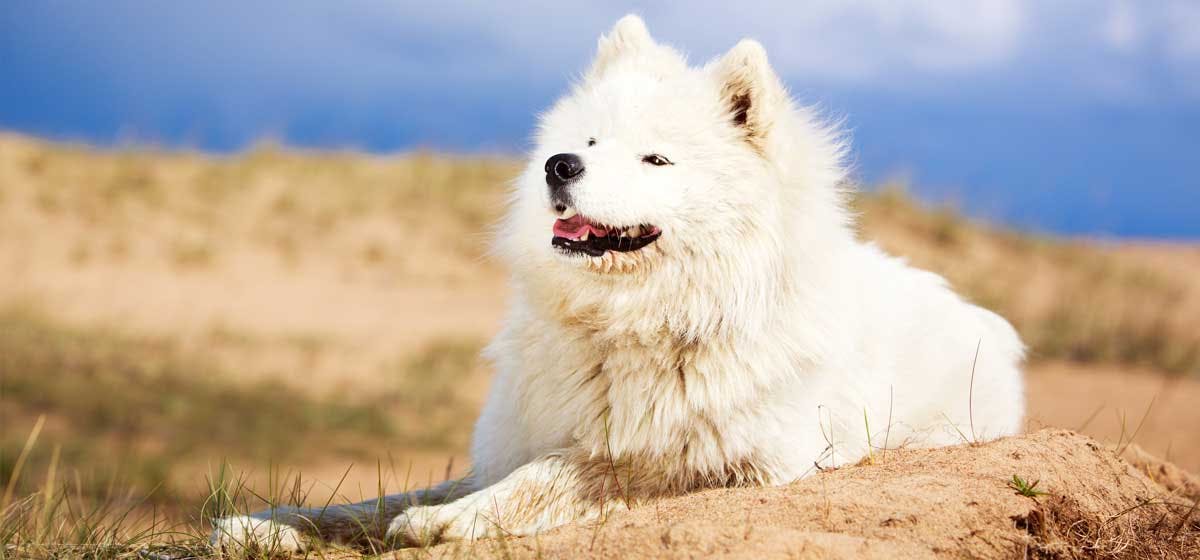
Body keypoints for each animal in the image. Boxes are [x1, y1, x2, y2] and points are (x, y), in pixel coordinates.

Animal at [213, 15, 1022, 554]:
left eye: (655, 159)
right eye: (590, 141)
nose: (560, 165)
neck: (633, 325)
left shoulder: (732, 464)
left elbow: (568, 473)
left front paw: (447, 525)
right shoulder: (513, 442)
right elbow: (373, 502)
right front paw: (265, 527)